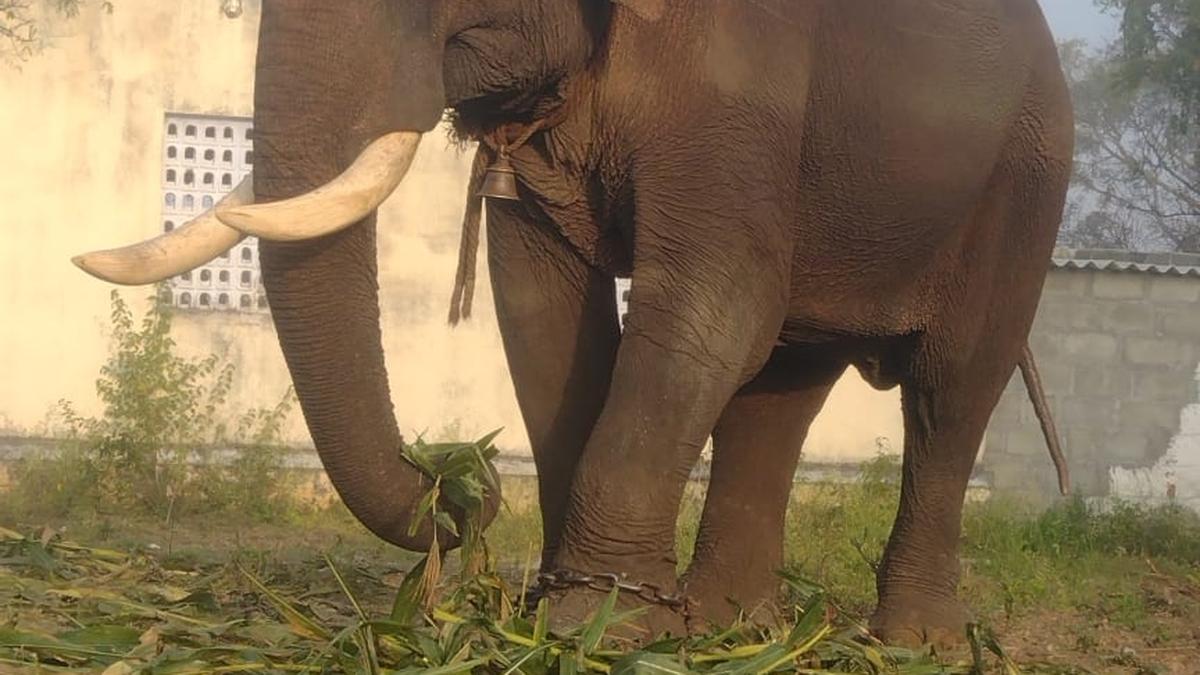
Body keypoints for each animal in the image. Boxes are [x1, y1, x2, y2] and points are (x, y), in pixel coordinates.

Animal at [74, 0, 1074, 645]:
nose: (460, 495)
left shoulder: (746, 86)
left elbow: (718, 304)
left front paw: (600, 623)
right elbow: (544, 311)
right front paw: (571, 615)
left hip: (1027, 172)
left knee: (951, 386)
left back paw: (914, 643)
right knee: (782, 387)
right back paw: (731, 627)